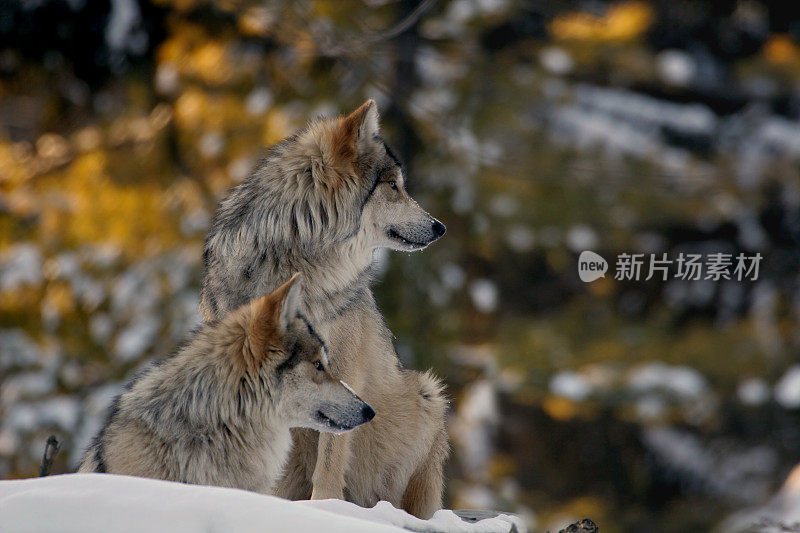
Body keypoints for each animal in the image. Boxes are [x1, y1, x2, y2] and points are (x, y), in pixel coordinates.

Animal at [200, 98, 450, 516]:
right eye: (394, 186)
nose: (439, 227)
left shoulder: (344, 372)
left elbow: (331, 456)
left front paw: (326, 507)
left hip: (428, 396)